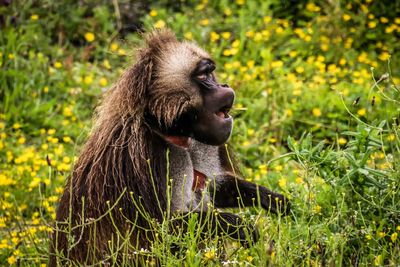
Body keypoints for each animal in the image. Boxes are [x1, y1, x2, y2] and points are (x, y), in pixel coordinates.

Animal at [48, 28, 290, 266]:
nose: (225, 86)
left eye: (211, 73)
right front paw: (237, 226)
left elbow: (215, 188)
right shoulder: (140, 158)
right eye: (203, 76)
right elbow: (159, 232)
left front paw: (273, 200)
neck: (170, 131)